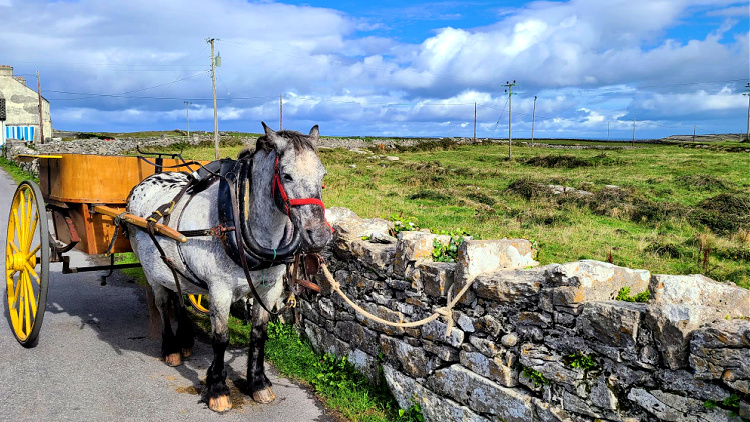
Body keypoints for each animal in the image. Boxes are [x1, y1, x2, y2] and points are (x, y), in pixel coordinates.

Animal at [126, 123, 332, 412]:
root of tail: (150, 178)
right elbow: (220, 338)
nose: (321, 235)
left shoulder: (268, 290)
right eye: (287, 175)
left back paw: (186, 340)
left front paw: (258, 383)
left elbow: (258, 334)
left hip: (173, 266)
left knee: (178, 295)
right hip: (149, 269)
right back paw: (172, 349)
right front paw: (217, 388)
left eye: (322, 174)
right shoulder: (219, 290)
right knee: (163, 303)